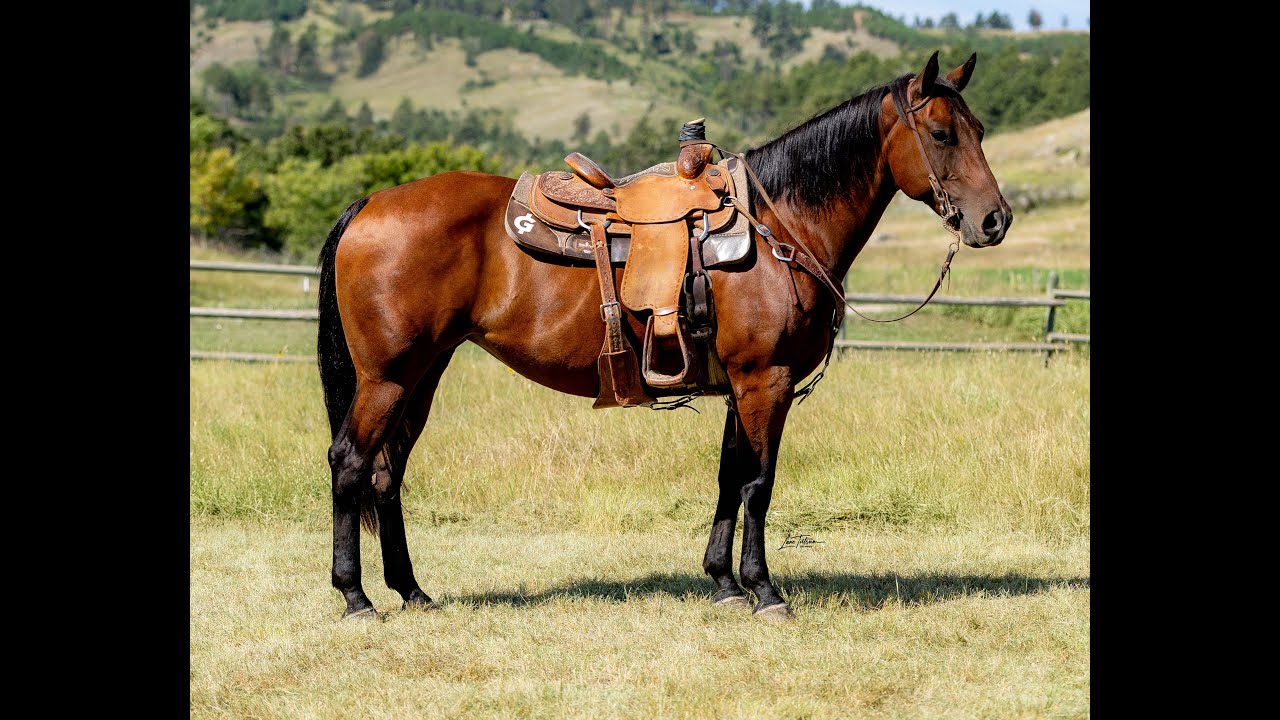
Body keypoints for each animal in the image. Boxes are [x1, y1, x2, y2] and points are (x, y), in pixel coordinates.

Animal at [316, 51, 1011, 621]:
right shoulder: (766, 381)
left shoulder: (739, 387)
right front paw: (764, 591)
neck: (781, 225)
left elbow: (731, 478)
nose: (995, 221)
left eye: (980, 130)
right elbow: (760, 484)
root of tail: (369, 204)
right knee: (350, 463)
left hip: (421, 375)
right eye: (942, 134)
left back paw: (412, 591)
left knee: (386, 474)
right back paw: (355, 597)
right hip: (387, 377)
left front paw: (724, 583)